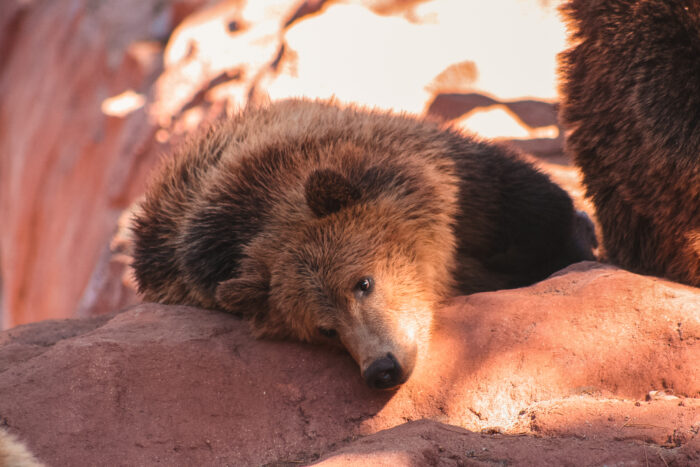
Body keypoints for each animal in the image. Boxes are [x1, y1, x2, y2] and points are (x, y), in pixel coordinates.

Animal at [131, 99, 595, 389]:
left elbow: (530, 209)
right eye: (325, 330)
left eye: (363, 283)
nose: (381, 368)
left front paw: (579, 240)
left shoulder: (453, 181)